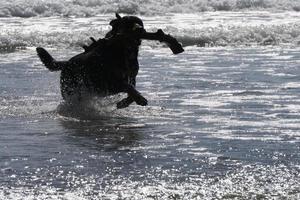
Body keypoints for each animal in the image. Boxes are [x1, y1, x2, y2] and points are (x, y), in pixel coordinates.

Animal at [36, 12, 184, 108]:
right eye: (127, 24)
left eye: (140, 23)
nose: (139, 30)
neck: (123, 49)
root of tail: (66, 62)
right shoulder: (108, 82)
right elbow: (128, 87)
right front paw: (139, 98)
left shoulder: (131, 77)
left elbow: (131, 88)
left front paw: (126, 102)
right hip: (71, 89)